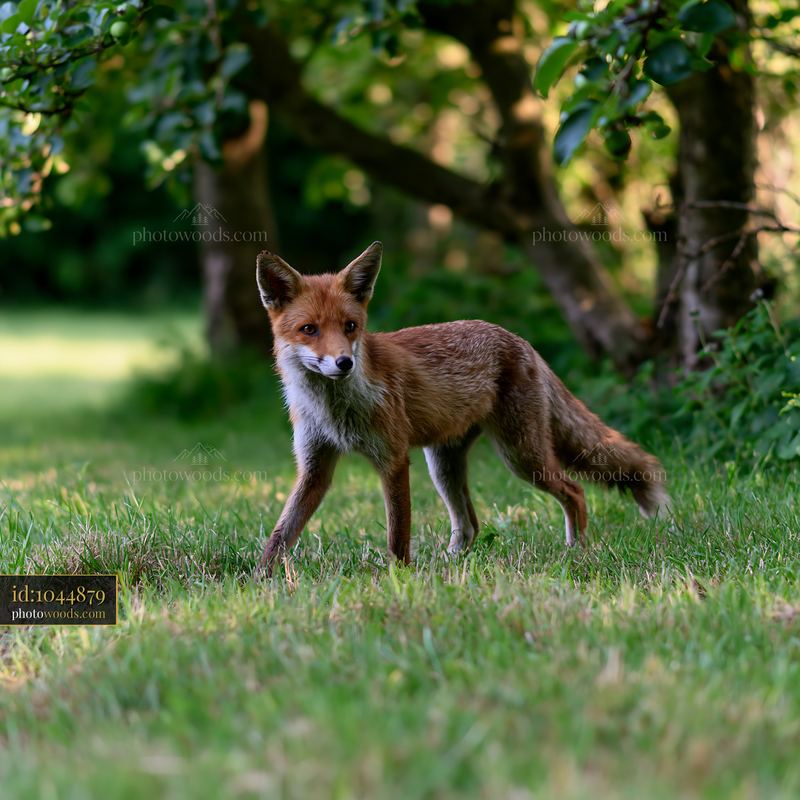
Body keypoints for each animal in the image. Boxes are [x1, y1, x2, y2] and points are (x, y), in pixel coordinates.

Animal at [255, 242, 668, 576]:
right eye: (309, 329)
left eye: (350, 326)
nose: (344, 363)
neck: (333, 410)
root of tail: (520, 341)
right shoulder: (314, 467)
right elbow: (281, 532)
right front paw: (259, 580)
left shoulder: (392, 459)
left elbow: (397, 533)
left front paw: (398, 578)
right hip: (444, 466)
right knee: (470, 525)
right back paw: (450, 563)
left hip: (521, 456)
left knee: (574, 490)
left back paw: (576, 551)